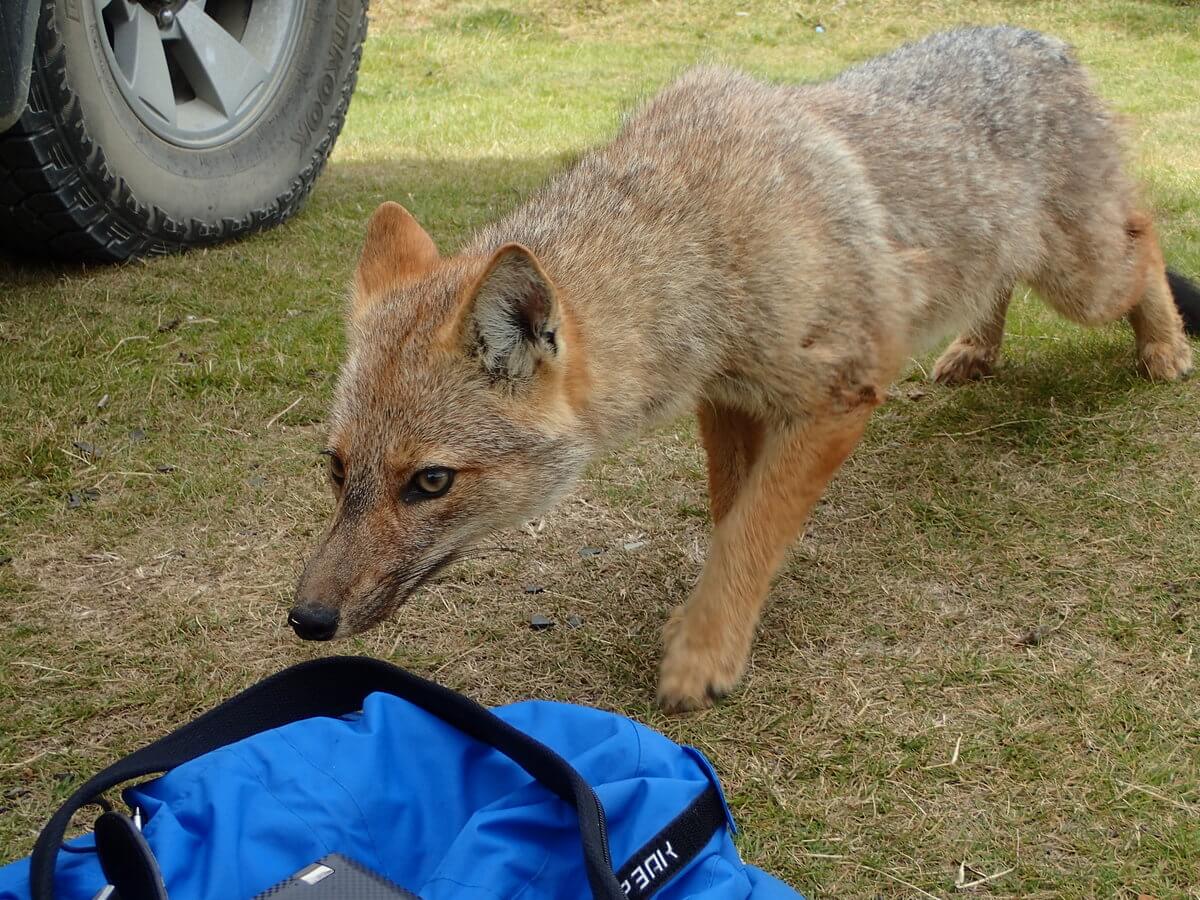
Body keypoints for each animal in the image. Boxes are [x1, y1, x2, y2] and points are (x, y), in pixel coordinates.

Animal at [290, 26, 1200, 710]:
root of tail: (1040, 38)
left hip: (1085, 281)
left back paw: (1163, 345)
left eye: (430, 482)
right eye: (335, 470)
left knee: (1147, 230)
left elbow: (753, 526)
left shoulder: (840, 393)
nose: (305, 619)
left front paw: (705, 649)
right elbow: (738, 518)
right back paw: (978, 346)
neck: (700, 241)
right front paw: (735, 614)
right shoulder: (729, 400)